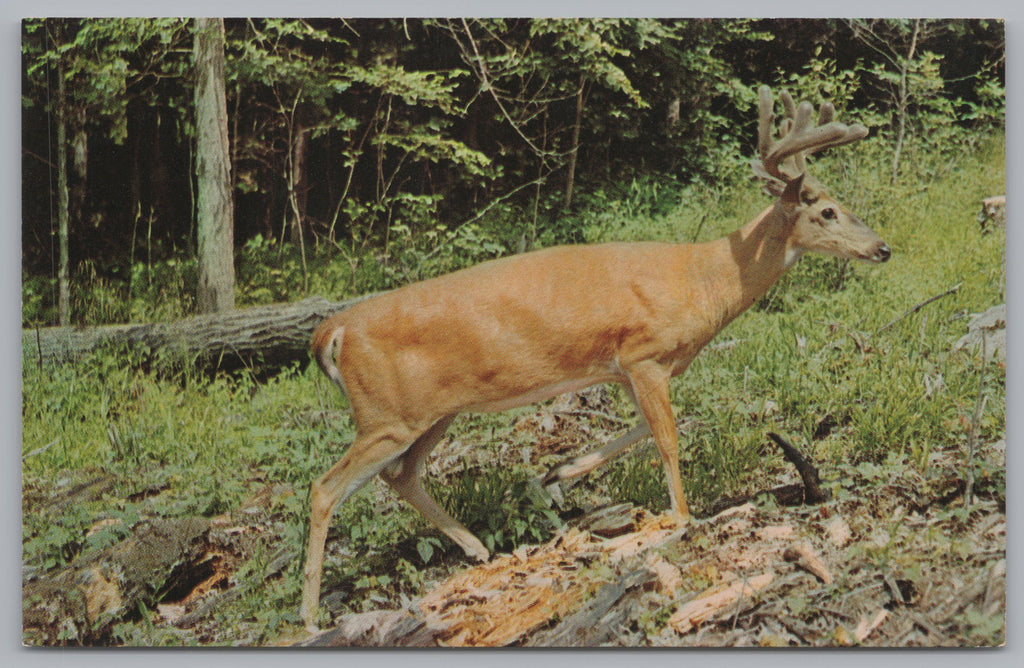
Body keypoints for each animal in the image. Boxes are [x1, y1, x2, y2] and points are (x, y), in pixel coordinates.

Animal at [296, 86, 888, 627]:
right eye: (829, 211)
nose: (882, 248)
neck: (706, 279)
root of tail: (332, 331)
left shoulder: (625, 366)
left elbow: (648, 428)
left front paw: (559, 472)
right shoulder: (646, 353)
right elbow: (669, 440)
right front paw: (681, 514)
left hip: (432, 413)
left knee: (400, 475)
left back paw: (479, 548)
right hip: (386, 414)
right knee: (325, 488)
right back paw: (308, 615)